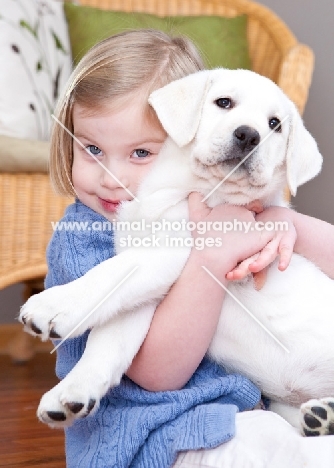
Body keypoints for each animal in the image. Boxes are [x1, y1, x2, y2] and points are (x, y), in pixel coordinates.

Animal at [20, 68, 334, 436]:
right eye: (223, 102)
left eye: (275, 125)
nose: (248, 135)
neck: (183, 189)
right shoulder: (148, 297)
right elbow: (110, 339)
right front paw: (73, 391)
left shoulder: (176, 251)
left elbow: (111, 273)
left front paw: (55, 305)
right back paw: (322, 418)